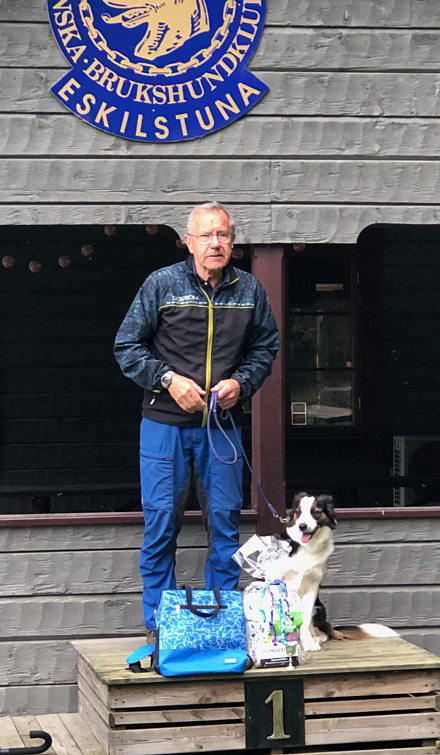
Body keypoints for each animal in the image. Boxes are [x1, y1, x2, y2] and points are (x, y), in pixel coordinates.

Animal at [268, 493, 397, 651]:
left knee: (325, 634)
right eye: (298, 512)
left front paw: (308, 642)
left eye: (316, 512)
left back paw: (313, 640)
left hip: (318, 609)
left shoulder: (312, 587)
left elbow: (304, 620)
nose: (302, 526)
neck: (307, 547)